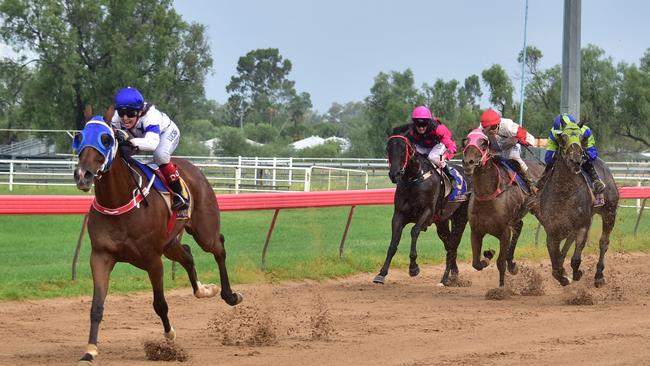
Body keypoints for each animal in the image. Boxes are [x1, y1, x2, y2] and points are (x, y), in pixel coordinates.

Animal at [71, 105, 243, 364]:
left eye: (106, 139)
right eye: (79, 137)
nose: (83, 175)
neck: (118, 201)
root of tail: (194, 168)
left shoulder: (153, 259)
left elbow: (160, 304)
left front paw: (170, 339)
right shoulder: (100, 256)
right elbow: (96, 307)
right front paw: (90, 350)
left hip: (204, 231)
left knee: (219, 247)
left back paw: (229, 295)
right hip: (170, 244)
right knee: (187, 254)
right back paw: (203, 290)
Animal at [372, 134, 468, 286]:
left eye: (404, 150)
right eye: (388, 149)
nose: (394, 174)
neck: (415, 179)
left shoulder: (427, 212)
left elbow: (414, 230)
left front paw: (413, 268)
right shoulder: (399, 215)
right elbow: (393, 243)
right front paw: (381, 274)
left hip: (461, 218)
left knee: (453, 246)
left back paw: (445, 278)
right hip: (442, 222)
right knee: (449, 244)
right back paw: (454, 274)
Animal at [458, 129, 544, 288]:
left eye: (484, 143)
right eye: (466, 141)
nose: (468, 163)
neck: (488, 196)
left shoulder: (504, 232)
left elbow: (500, 263)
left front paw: (502, 288)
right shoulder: (476, 231)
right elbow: (476, 263)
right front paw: (488, 255)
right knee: (519, 227)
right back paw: (512, 264)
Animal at [536, 121, 616, 288]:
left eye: (582, 138)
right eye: (563, 138)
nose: (576, 161)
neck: (564, 193)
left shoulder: (583, 227)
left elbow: (575, 260)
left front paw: (577, 273)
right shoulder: (552, 232)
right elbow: (555, 267)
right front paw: (563, 276)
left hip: (609, 213)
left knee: (603, 242)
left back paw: (599, 275)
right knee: (567, 245)